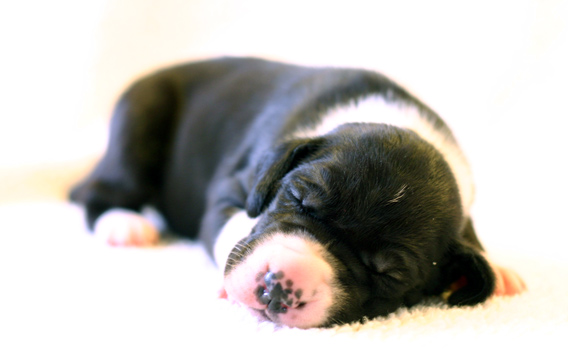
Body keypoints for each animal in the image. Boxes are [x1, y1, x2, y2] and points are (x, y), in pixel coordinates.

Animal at [72, 57, 528, 330]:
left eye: (388, 273)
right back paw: (124, 224)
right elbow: (232, 224)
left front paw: (494, 268)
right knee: (103, 188)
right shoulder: (236, 185)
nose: (277, 288)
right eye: (298, 198)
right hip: (140, 120)